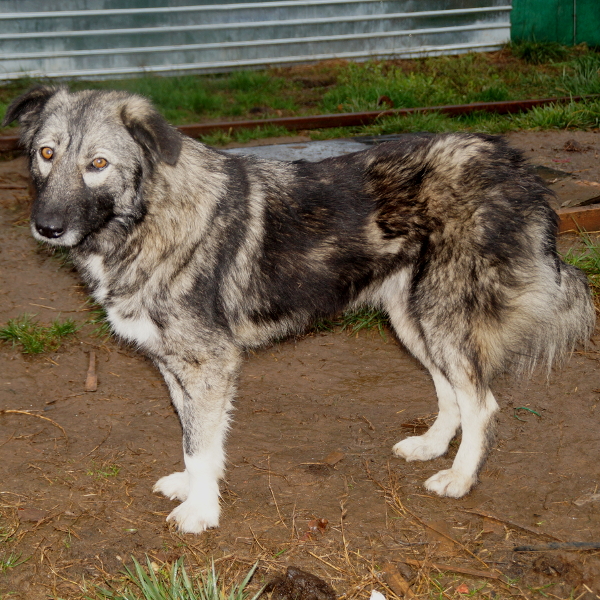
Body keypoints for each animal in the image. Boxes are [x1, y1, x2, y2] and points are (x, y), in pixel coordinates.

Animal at [3, 86, 596, 532]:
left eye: (98, 164)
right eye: (46, 154)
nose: (47, 227)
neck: (147, 217)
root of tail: (516, 166)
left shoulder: (208, 362)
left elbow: (200, 439)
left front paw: (200, 511)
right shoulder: (178, 364)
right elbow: (195, 439)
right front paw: (194, 488)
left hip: (444, 315)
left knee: (483, 404)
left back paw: (460, 478)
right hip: (412, 319)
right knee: (452, 391)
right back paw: (431, 447)